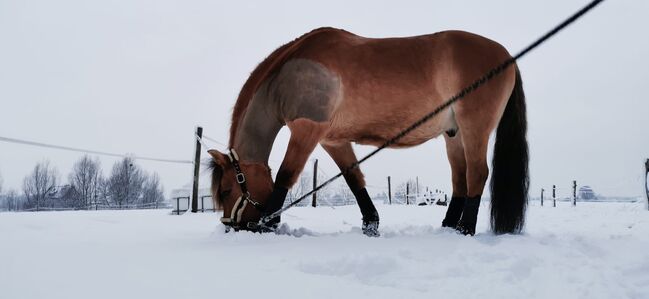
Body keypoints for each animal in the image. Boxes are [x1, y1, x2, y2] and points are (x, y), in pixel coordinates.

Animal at [209, 27, 528, 237]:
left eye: (225, 189)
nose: (231, 228)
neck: (294, 72)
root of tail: (506, 56)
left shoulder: (307, 130)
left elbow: (286, 175)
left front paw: (265, 222)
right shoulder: (333, 140)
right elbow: (353, 179)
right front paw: (371, 224)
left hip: (475, 128)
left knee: (477, 174)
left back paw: (464, 229)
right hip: (454, 134)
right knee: (460, 179)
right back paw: (448, 226)